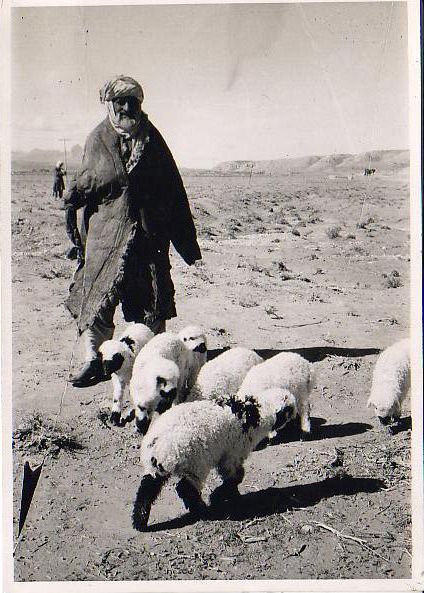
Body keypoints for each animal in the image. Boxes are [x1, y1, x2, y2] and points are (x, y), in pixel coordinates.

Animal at [133, 386, 298, 528]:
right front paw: (220, 496)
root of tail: (156, 444)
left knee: (147, 489)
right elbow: (236, 476)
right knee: (185, 489)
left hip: (156, 469)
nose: (296, 418)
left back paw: (140, 521)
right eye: (289, 410)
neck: (257, 412)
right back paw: (203, 511)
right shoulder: (233, 453)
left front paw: (231, 496)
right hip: (195, 462)